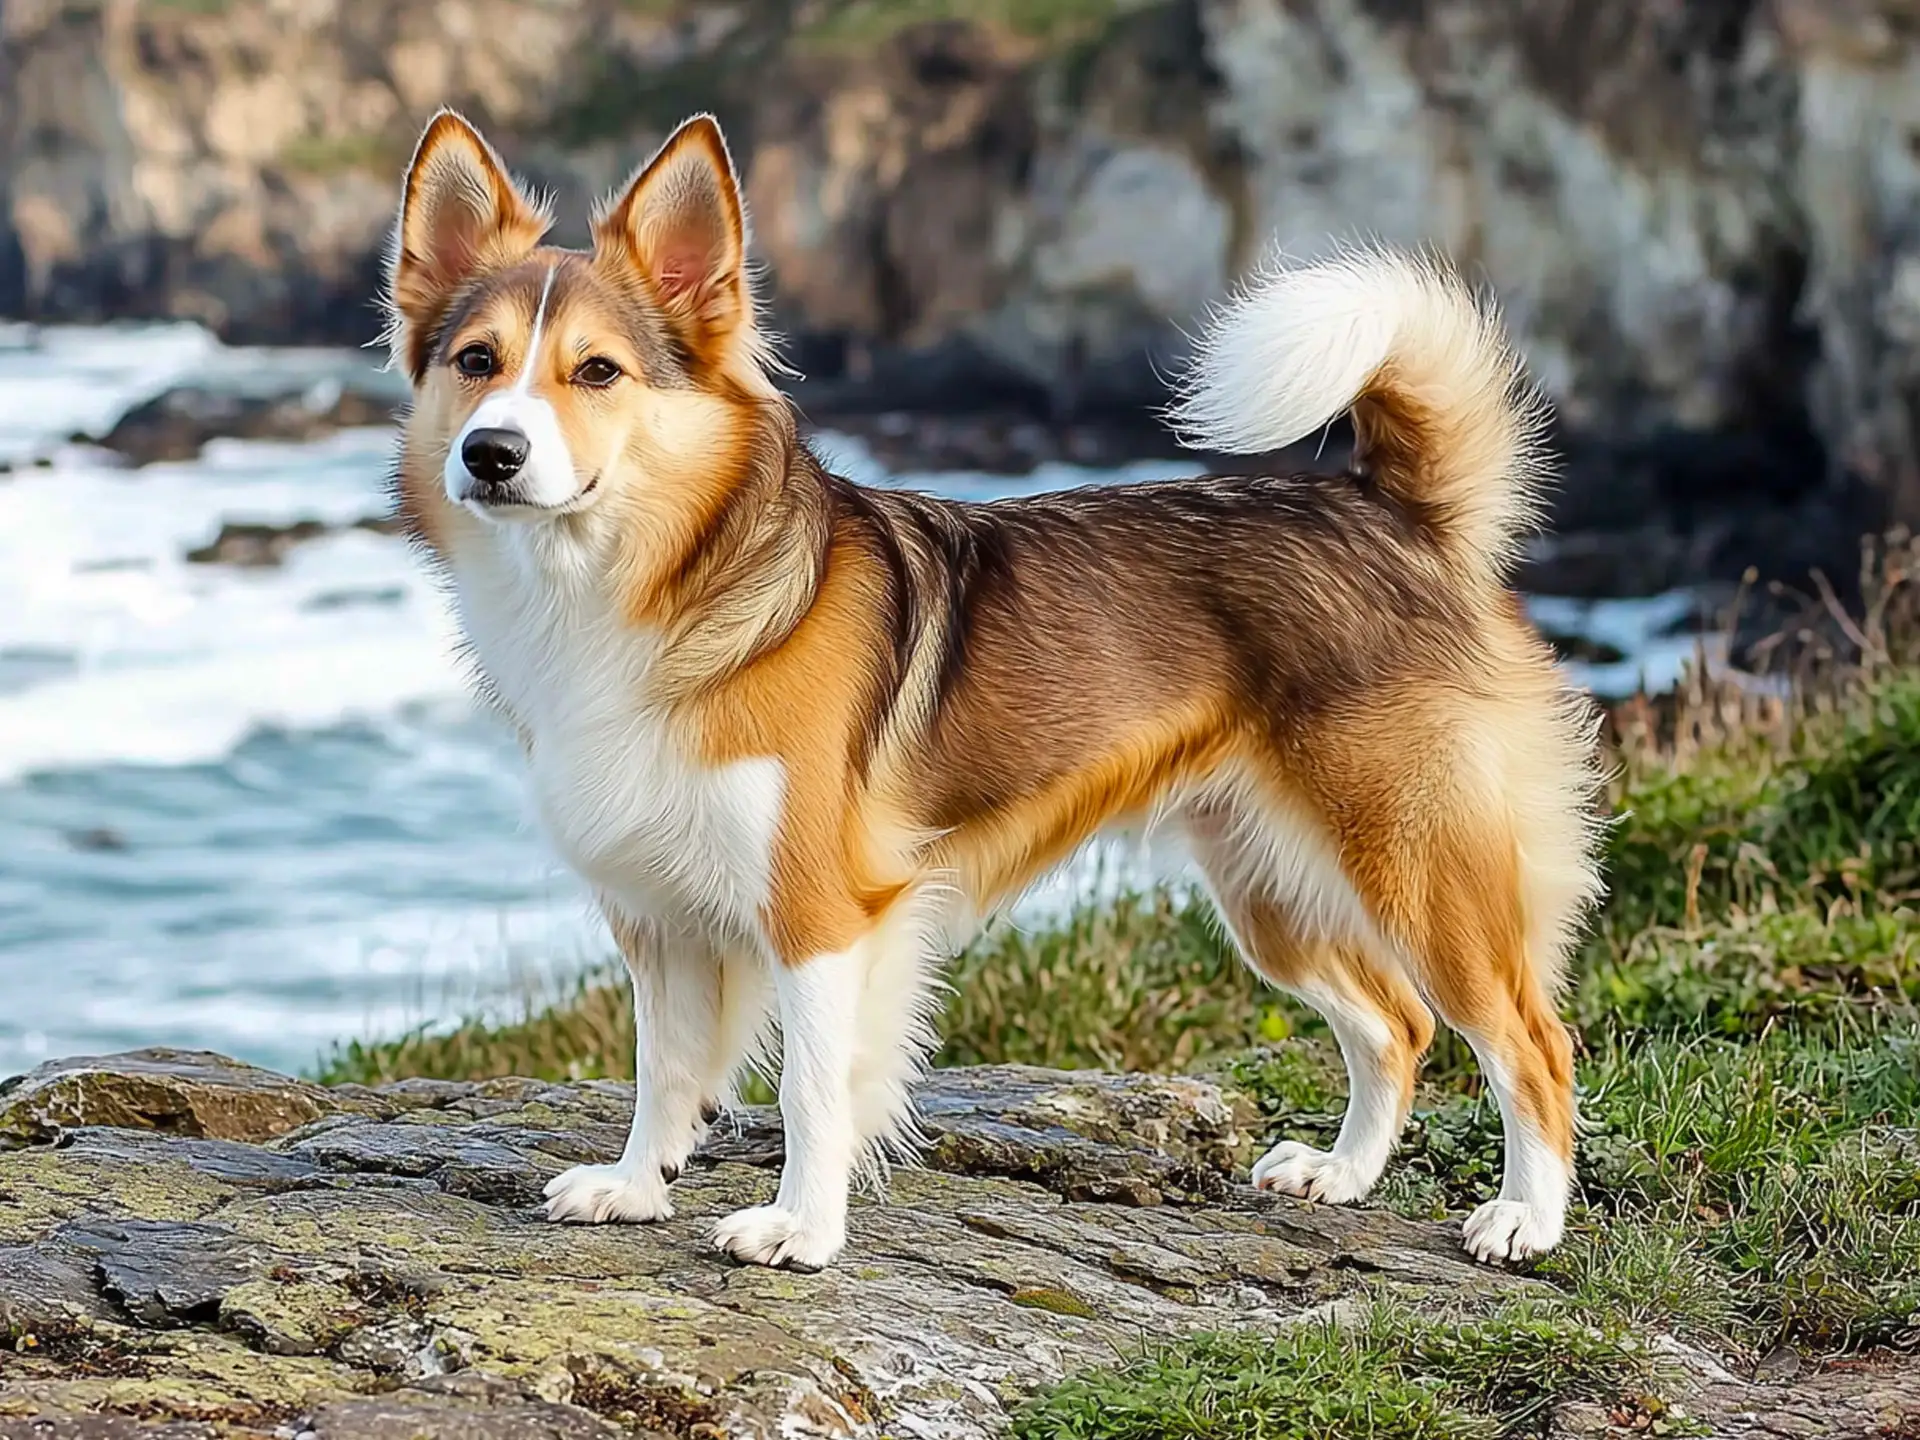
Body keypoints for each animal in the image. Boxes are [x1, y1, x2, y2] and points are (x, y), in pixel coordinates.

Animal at [382, 107, 1597, 1267]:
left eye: (597, 372)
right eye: (477, 361)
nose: (491, 453)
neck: (659, 584)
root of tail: (1392, 512)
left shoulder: (821, 913)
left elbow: (812, 1089)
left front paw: (802, 1230)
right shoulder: (656, 911)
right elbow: (665, 1068)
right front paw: (637, 1189)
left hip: (1422, 865)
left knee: (1531, 1043)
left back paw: (1525, 1222)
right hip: (1271, 892)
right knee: (1396, 1026)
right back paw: (1343, 1175)